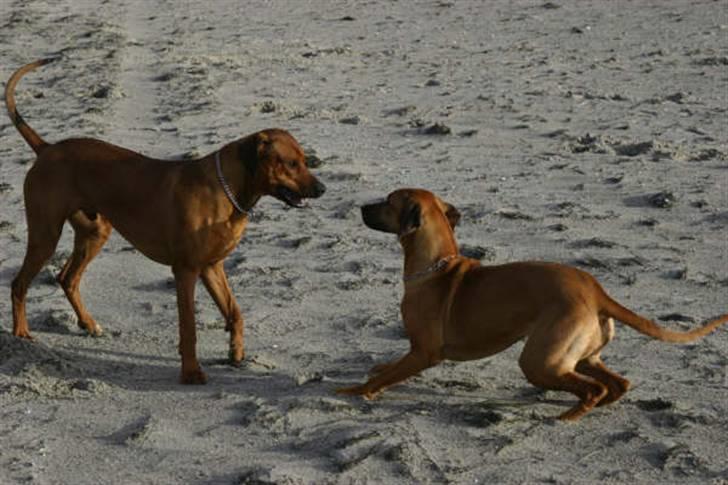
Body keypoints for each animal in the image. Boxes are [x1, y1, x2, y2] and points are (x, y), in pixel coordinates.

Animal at [4, 57, 324, 382]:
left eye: (305, 161)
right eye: (290, 164)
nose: (322, 189)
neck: (227, 190)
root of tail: (47, 148)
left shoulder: (212, 267)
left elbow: (235, 313)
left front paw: (236, 353)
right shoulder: (185, 271)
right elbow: (189, 328)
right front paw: (192, 373)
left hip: (95, 232)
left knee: (67, 278)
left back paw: (89, 324)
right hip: (45, 235)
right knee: (19, 283)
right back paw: (21, 335)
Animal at [340, 189, 728, 420]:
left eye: (388, 201)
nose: (359, 207)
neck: (437, 266)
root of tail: (596, 291)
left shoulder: (423, 353)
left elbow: (384, 377)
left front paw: (352, 390)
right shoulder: (415, 352)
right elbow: (387, 368)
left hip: (539, 360)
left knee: (595, 387)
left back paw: (569, 416)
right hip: (581, 356)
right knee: (617, 383)